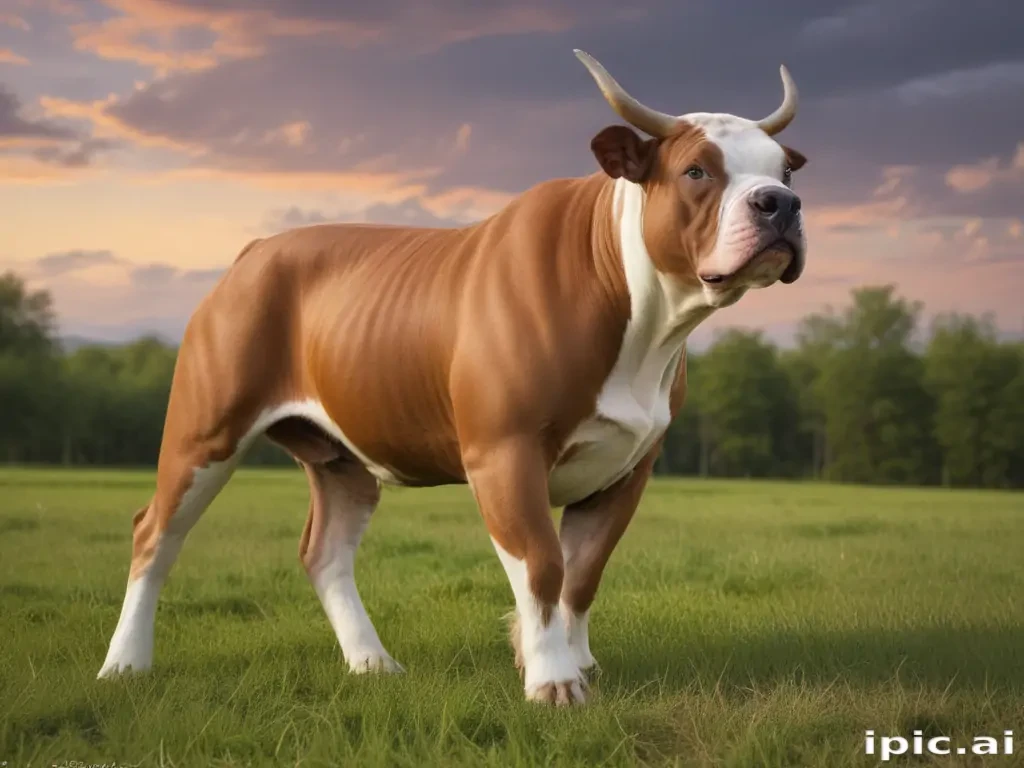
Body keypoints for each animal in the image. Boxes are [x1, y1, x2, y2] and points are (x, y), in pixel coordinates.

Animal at [97, 50, 808, 706]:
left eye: (781, 170)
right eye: (696, 170)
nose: (781, 204)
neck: (645, 325)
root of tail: (256, 252)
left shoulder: (629, 466)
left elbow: (583, 574)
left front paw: (576, 664)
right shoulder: (504, 450)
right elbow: (542, 564)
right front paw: (552, 681)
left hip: (341, 458)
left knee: (324, 552)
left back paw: (372, 662)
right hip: (205, 428)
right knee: (154, 532)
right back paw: (125, 665)